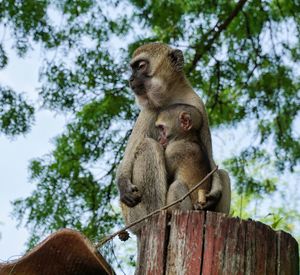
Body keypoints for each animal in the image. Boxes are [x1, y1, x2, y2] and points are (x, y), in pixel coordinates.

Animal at [116, 42, 231, 237]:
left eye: (140, 66)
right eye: (133, 68)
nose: (131, 79)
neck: (170, 96)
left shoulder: (198, 104)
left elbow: (210, 159)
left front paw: (214, 193)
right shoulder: (148, 111)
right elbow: (129, 158)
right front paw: (122, 182)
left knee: (224, 173)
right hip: (134, 215)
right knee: (148, 146)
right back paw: (156, 213)